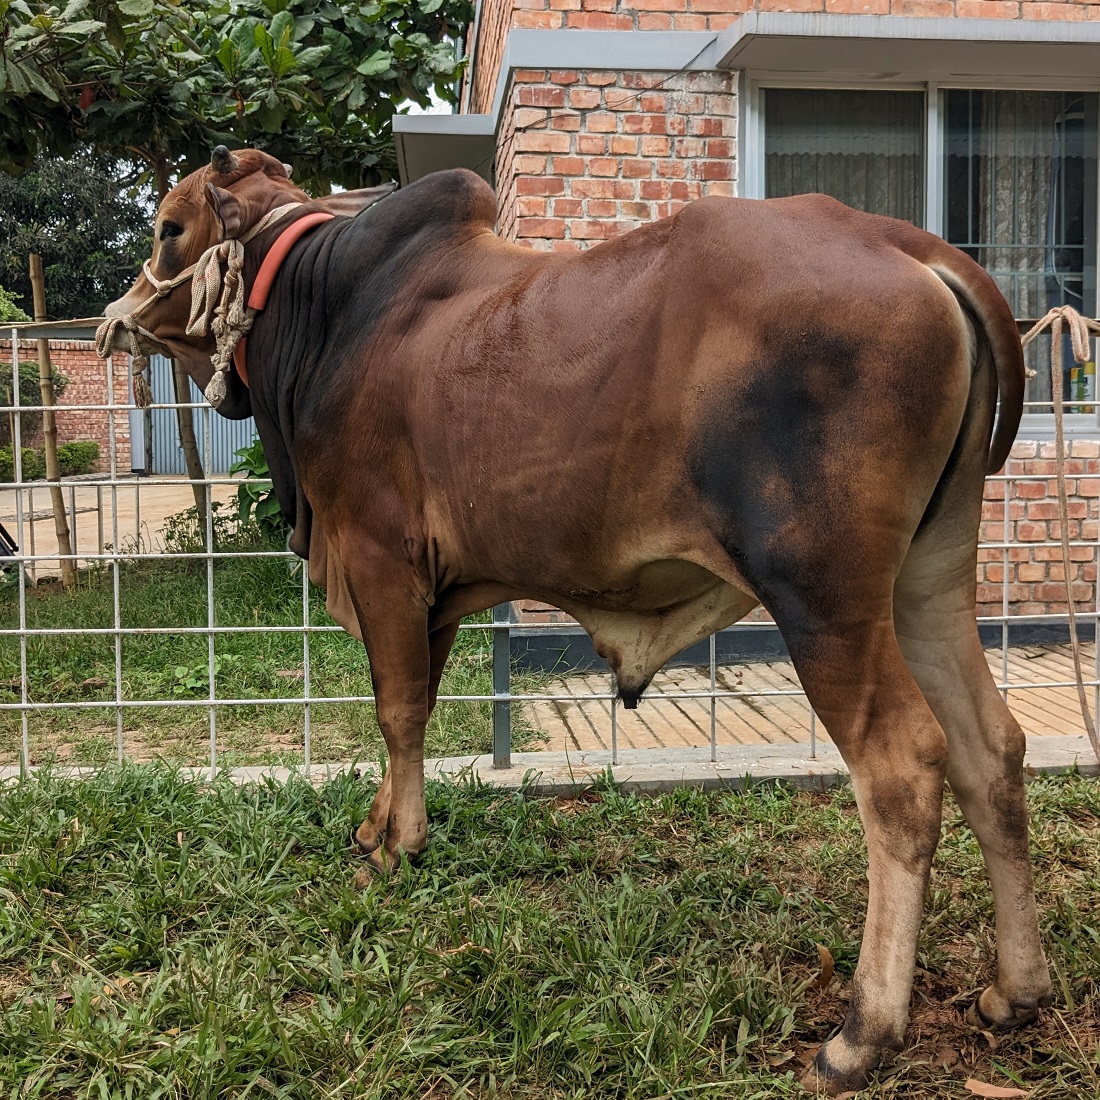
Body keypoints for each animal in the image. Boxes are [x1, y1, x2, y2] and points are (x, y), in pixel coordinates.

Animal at [103, 148, 1056, 1100]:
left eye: (169, 229)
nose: (119, 318)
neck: (328, 308)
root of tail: (911, 246)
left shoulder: (379, 559)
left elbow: (398, 710)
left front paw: (397, 845)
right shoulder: (429, 588)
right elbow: (407, 707)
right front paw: (377, 826)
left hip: (822, 594)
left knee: (904, 768)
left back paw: (863, 1033)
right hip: (926, 580)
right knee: (991, 748)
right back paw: (1015, 990)